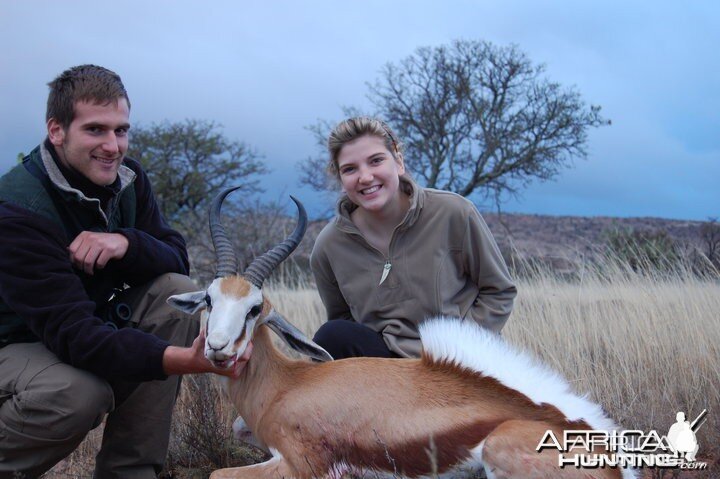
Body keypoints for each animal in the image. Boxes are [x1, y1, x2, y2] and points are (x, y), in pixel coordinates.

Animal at [167, 188, 636, 479]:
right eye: (209, 299)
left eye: (254, 309)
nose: (217, 348)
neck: (288, 385)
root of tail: (605, 452)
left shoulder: (302, 466)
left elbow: (215, 471)